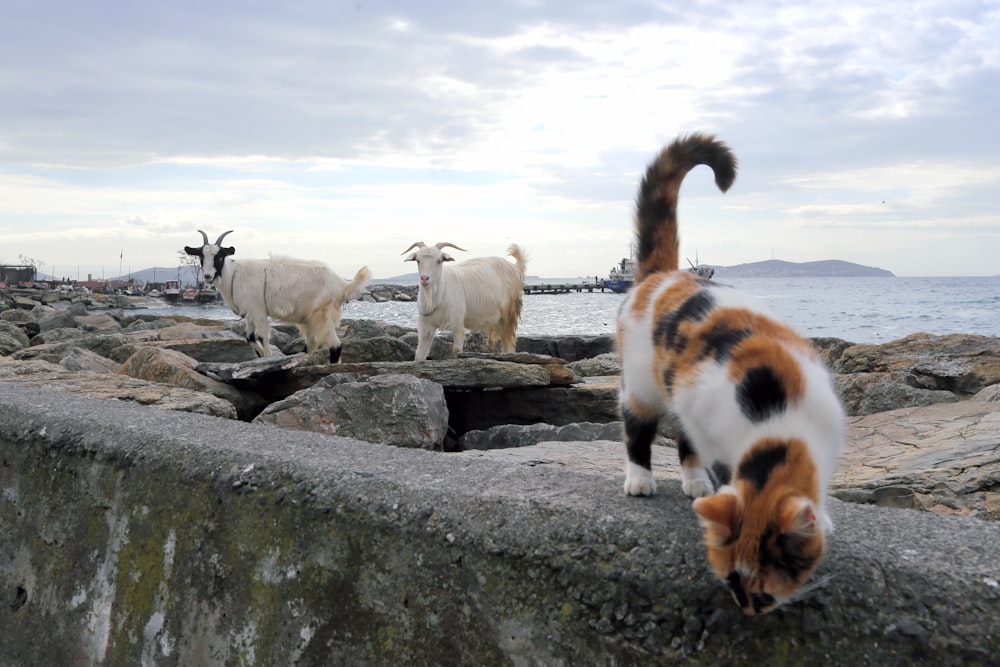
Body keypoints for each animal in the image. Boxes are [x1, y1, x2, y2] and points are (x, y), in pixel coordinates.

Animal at [185, 231, 372, 366]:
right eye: (201, 256)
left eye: (219, 256)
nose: (208, 276)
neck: (234, 275)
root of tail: (342, 284)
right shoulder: (251, 313)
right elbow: (249, 337)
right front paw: (260, 356)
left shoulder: (259, 312)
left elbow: (263, 337)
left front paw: (267, 359)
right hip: (309, 319)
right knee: (312, 345)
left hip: (321, 316)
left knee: (335, 346)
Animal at [400, 243, 528, 362]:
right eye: (418, 260)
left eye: (439, 260)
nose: (425, 278)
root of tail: (516, 267)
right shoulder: (426, 327)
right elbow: (419, 355)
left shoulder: (457, 324)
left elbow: (456, 351)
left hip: (510, 313)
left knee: (509, 340)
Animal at [616, 134, 844, 616]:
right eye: (730, 579)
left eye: (768, 589)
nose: (748, 609)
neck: (779, 422)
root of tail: (662, 275)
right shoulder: (708, 418)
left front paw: (824, 517)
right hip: (642, 385)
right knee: (638, 429)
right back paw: (645, 479)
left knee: (683, 440)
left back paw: (696, 484)